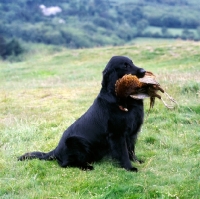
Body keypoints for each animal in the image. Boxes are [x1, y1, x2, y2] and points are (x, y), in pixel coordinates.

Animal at [18, 55, 146, 171]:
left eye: (132, 62)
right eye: (125, 66)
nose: (144, 71)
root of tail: (56, 150)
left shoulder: (132, 133)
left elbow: (131, 150)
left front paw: (136, 161)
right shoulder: (117, 135)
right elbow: (124, 153)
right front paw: (129, 167)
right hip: (75, 142)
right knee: (65, 164)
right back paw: (86, 167)